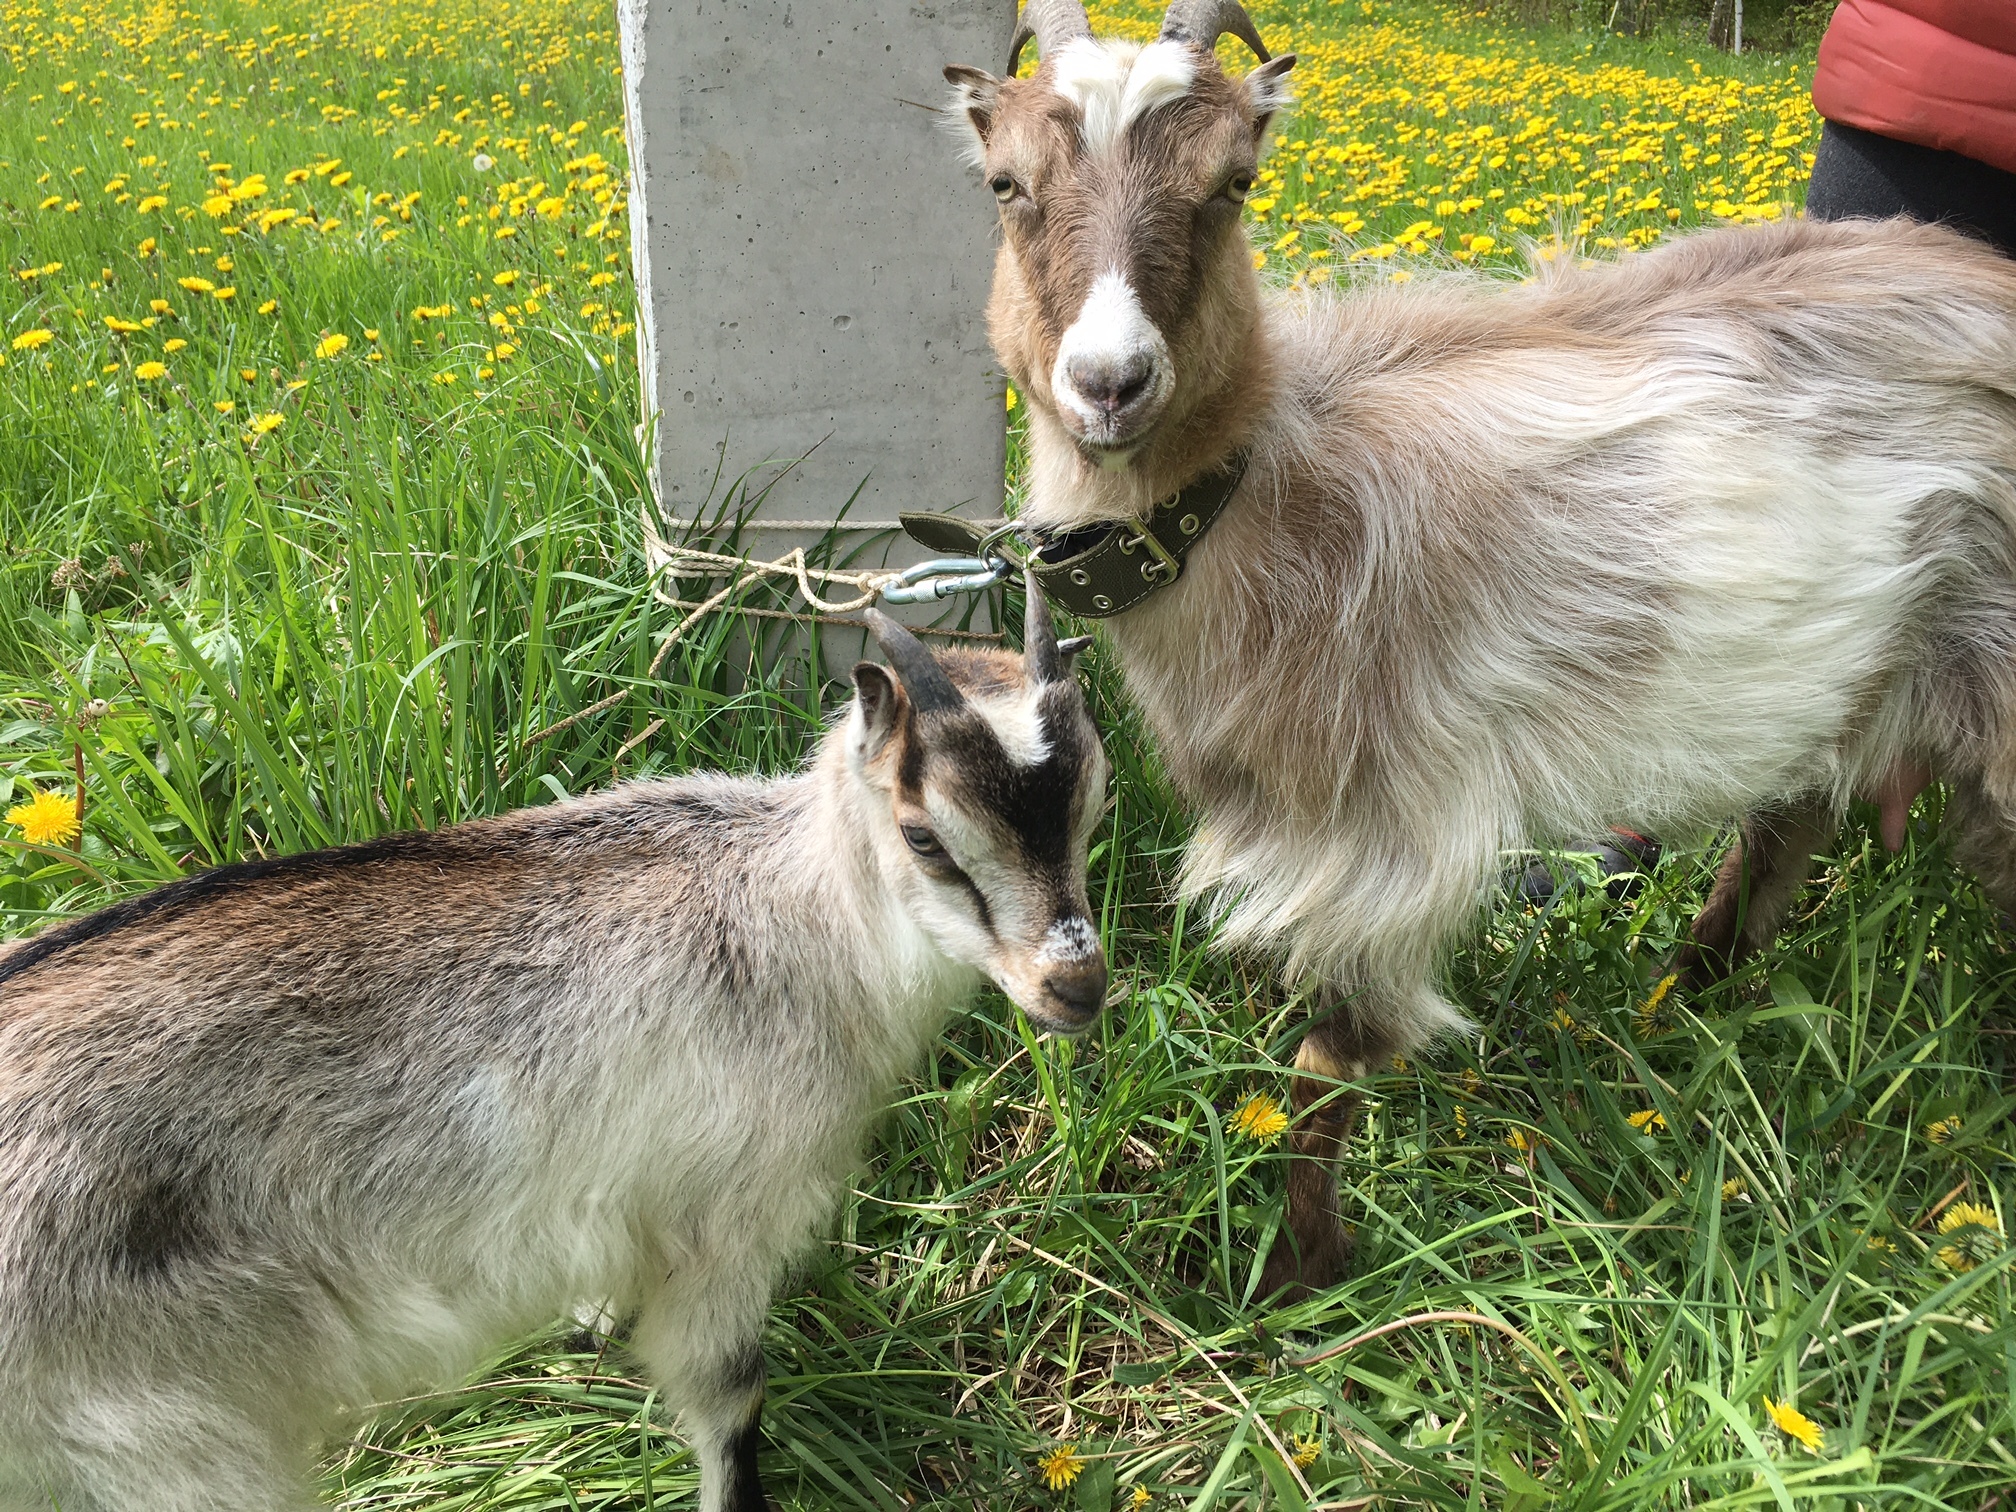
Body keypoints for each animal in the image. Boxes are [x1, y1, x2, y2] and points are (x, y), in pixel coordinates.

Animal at [0, 592, 1104, 1512]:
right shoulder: (727, 1223)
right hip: (170, 1434)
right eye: (924, 837)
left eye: (1093, 800)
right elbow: (732, 1397)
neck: (791, 919)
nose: (1076, 988)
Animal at [935, 0, 2016, 1306]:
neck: (1274, 497)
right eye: (1006, 184)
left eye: (1235, 182)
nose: (1110, 383)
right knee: (1786, 824)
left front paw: (1298, 1281)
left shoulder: (1393, 835)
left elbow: (1326, 1066)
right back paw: (1685, 1000)